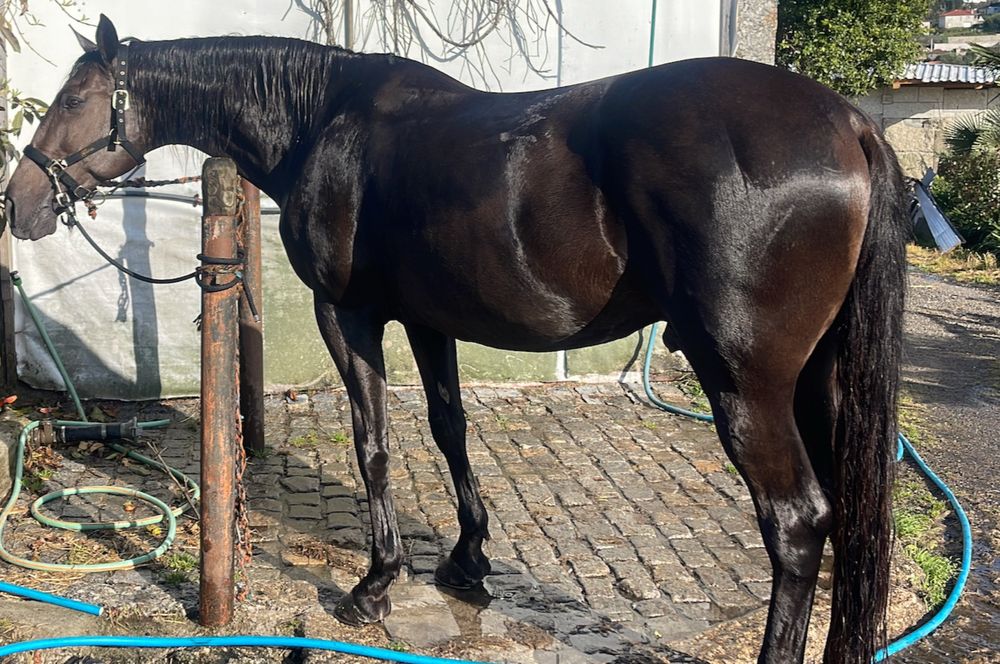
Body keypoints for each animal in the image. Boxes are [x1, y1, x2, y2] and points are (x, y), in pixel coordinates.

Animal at [3, 15, 908, 664]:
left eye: (74, 101)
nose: (19, 202)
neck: (323, 119)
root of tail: (850, 126)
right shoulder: (429, 321)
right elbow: (449, 429)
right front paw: (467, 560)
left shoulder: (350, 315)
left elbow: (373, 440)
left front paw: (375, 583)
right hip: (817, 382)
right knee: (846, 518)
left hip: (747, 385)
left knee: (796, 523)